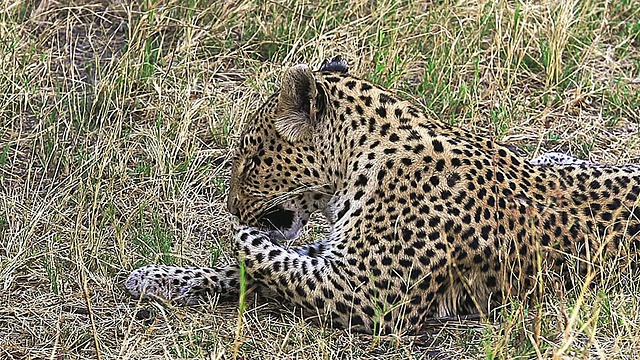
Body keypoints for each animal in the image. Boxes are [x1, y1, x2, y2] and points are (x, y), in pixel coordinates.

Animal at [126, 56, 640, 334]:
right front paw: (159, 277)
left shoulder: (367, 292)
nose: (231, 206)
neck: (363, 155)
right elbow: (246, 270)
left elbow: (267, 258)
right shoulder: (333, 258)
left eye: (250, 159)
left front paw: (236, 235)